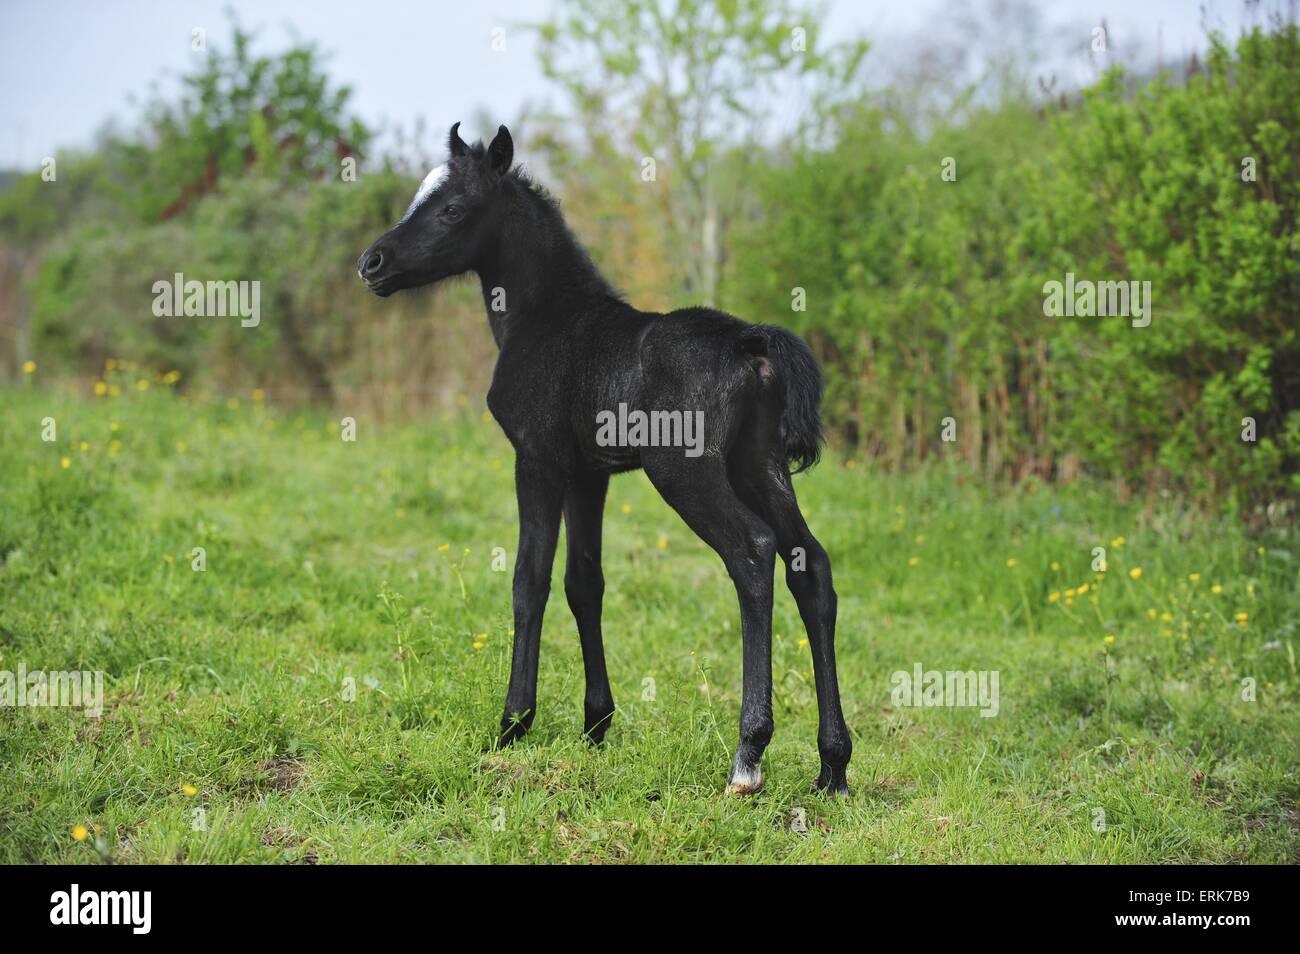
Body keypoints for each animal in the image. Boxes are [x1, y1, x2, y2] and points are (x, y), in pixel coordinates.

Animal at [358, 122, 850, 795]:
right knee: (811, 564)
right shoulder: (588, 476)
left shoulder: (536, 460)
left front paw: (512, 724)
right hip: (760, 467)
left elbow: (529, 580)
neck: (547, 320)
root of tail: (753, 347)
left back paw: (748, 755)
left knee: (753, 553)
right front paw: (595, 724)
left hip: (687, 473)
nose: (372, 263)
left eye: (453, 208)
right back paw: (833, 766)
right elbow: (583, 582)